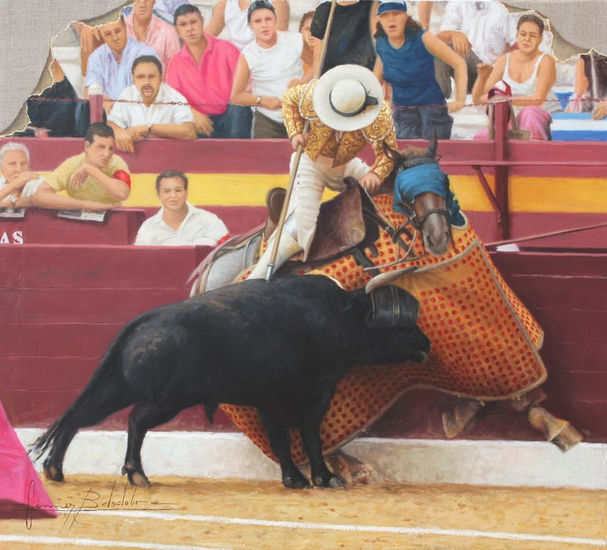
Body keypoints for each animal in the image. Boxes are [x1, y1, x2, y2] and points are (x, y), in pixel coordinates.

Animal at [33, 278, 430, 490]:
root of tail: (142, 322)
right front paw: (306, 478)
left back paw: (55, 470)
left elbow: (299, 437)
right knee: (135, 421)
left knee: (77, 419)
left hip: (117, 388)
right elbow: (296, 437)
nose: (426, 343)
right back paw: (137, 474)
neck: (334, 316)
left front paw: (312, 478)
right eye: (402, 325)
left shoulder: (290, 399)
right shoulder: (291, 397)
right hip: (166, 400)